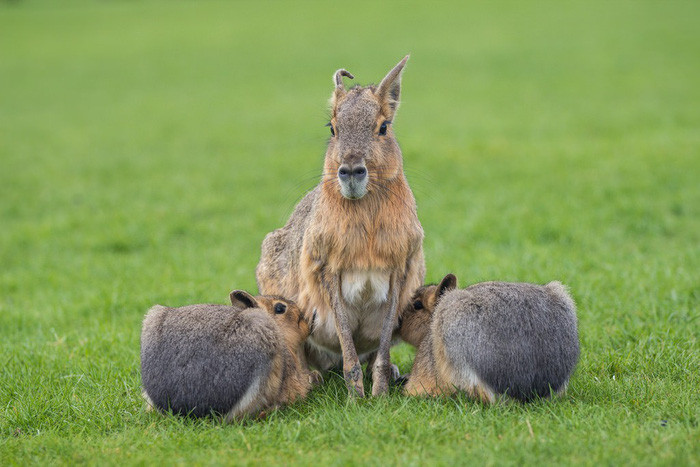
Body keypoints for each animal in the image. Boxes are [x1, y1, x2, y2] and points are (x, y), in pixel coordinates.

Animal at [256, 56, 425, 397]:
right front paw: (356, 398)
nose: (350, 170)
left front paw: (379, 393)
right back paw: (312, 377)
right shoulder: (328, 268)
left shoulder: (399, 269)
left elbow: (382, 346)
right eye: (332, 128)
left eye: (383, 127)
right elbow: (347, 343)